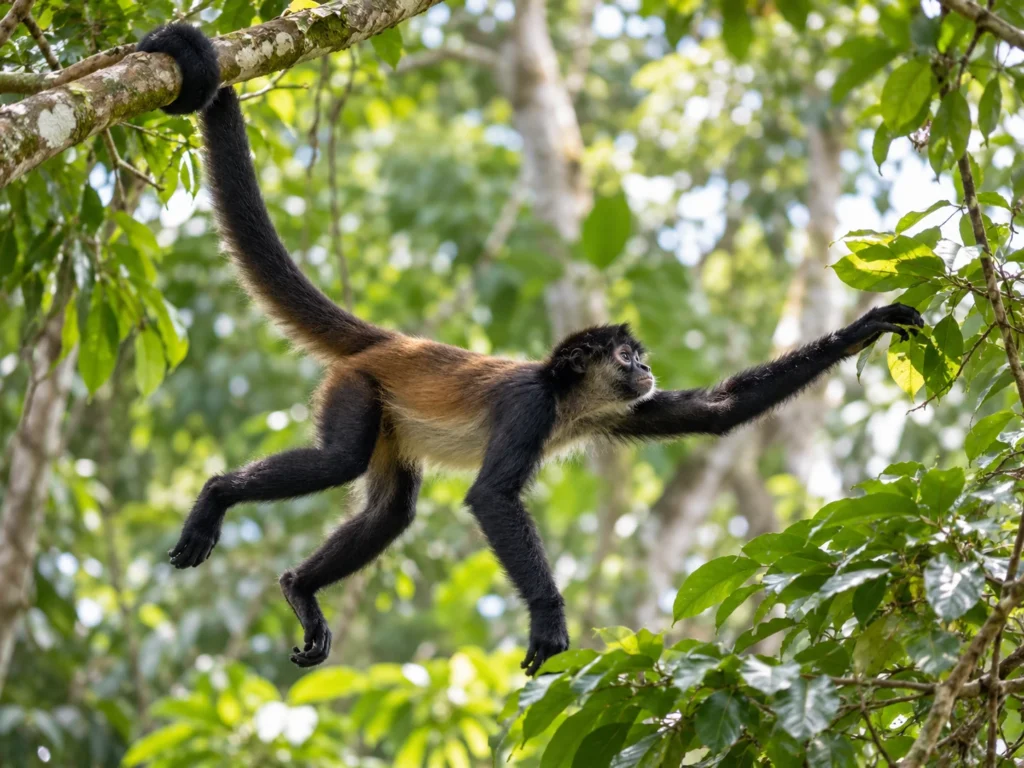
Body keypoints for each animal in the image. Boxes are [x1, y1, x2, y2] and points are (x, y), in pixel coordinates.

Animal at [138, 25, 924, 675]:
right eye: (625, 357)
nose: (646, 367)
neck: (568, 398)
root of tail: (395, 342)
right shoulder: (530, 404)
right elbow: (491, 496)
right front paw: (548, 620)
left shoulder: (614, 409)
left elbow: (719, 412)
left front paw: (867, 325)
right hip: (356, 388)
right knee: (341, 462)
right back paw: (216, 496)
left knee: (391, 509)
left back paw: (300, 588)